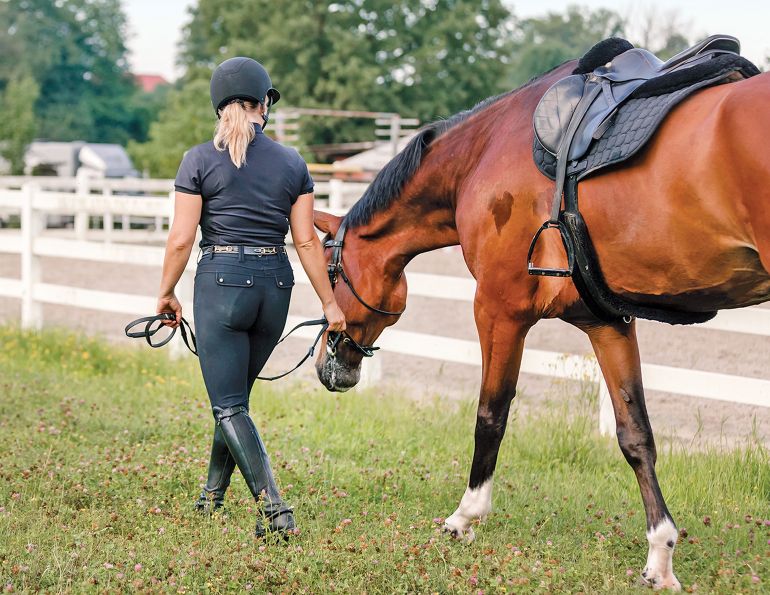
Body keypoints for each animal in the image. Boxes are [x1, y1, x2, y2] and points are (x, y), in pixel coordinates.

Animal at [311, 60, 770, 589]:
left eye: (328, 274)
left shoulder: (497, 309)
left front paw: (465, 518)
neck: (481, 154)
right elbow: (635, 434)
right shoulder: (607, 323)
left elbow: (491, 415)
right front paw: (660, 556)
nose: (326, 364)